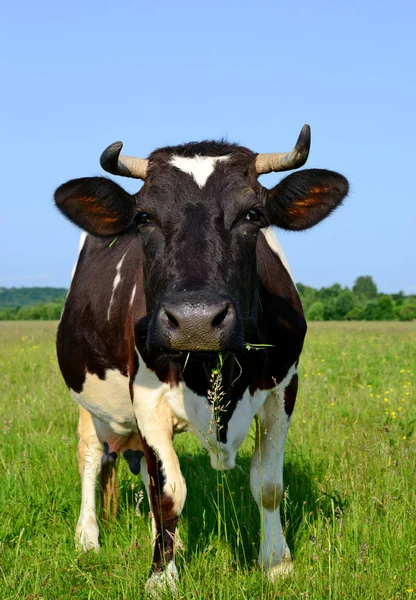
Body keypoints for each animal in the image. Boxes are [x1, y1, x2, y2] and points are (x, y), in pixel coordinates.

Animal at [54, 124, 348, 592]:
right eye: (144, 218)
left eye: (253, 215)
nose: (195, 320)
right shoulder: (146, 398)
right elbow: (170, 493)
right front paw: (162, 576)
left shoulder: (283, 389)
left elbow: (268, 484)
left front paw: (276, 563)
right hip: (87, 396)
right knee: (92, 455)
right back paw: (88, 538)